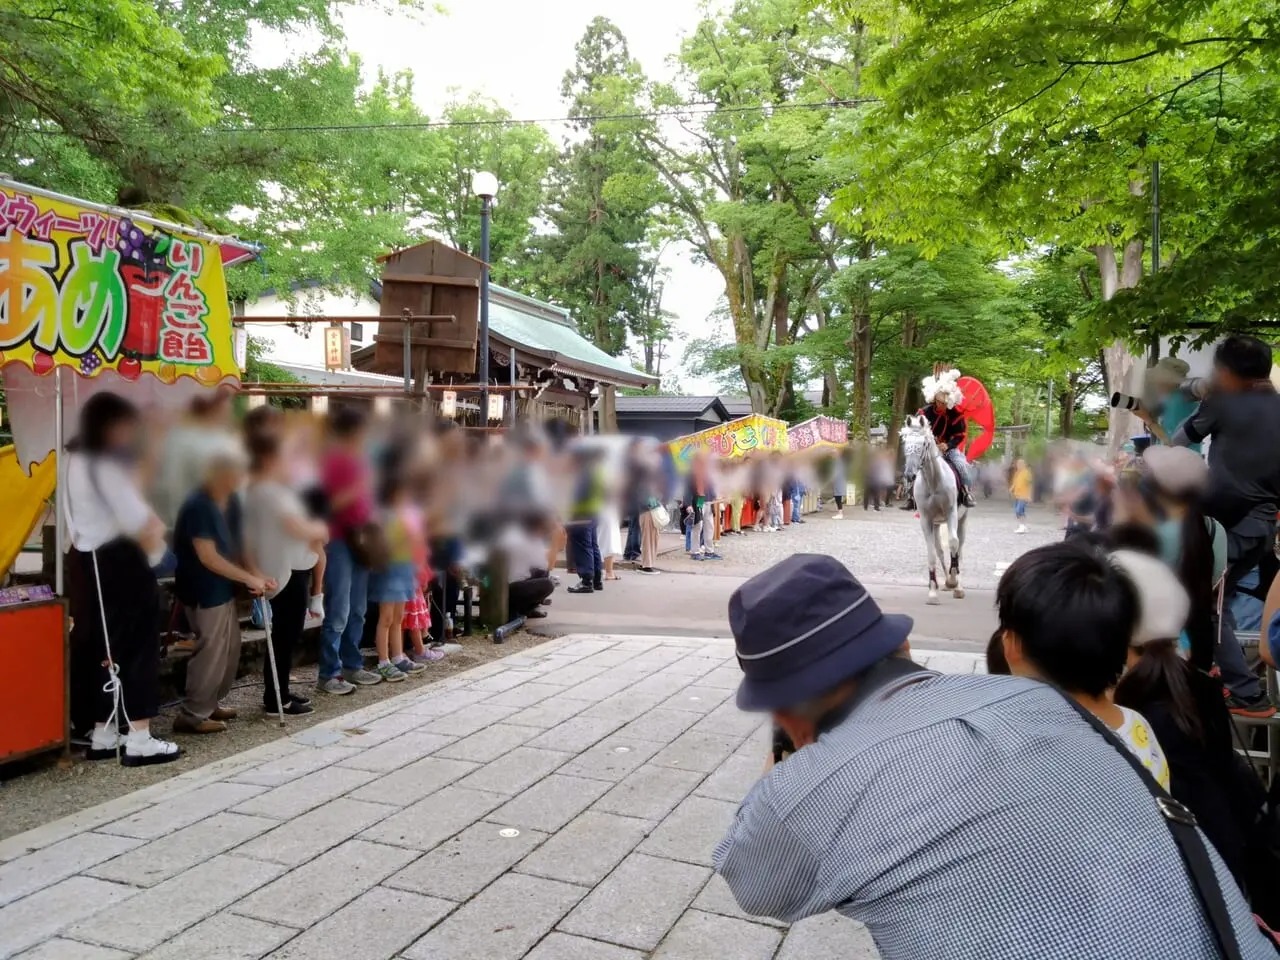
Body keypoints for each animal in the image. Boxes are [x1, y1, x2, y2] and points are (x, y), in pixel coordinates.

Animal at [901, 417, 967, 604]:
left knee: (959, 549)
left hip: (962, 520)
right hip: (937, 524)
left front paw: (953, 581)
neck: (933, 481)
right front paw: (932, 592)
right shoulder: (926, 519)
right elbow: (931, 553)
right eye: (905, 441)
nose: (909, 474)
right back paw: (944, 583)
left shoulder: (952, 513)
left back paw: (957, 586)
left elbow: (953, 543)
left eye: (923, 444)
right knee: (939, 551)